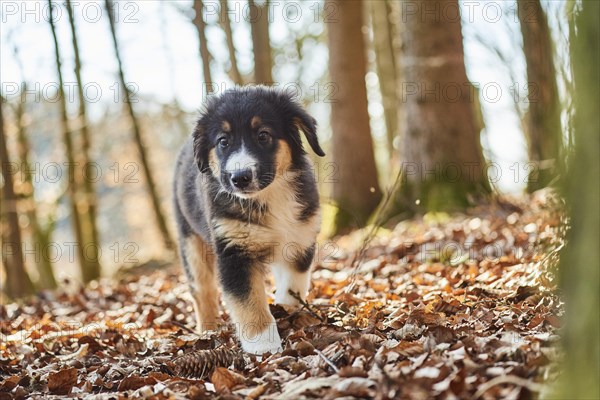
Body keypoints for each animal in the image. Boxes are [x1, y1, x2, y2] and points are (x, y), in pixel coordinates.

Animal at [171, 85, 326, 354]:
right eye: (223, 141)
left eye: (263, 135)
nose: (240, 177)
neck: (268, 196)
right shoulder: (233, 250)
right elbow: (248, 301)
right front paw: (263, 344)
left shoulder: (300, 236)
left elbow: (294, 282)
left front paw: (286, 308)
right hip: (190, 240)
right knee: (203, 290)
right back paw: (208, 330)